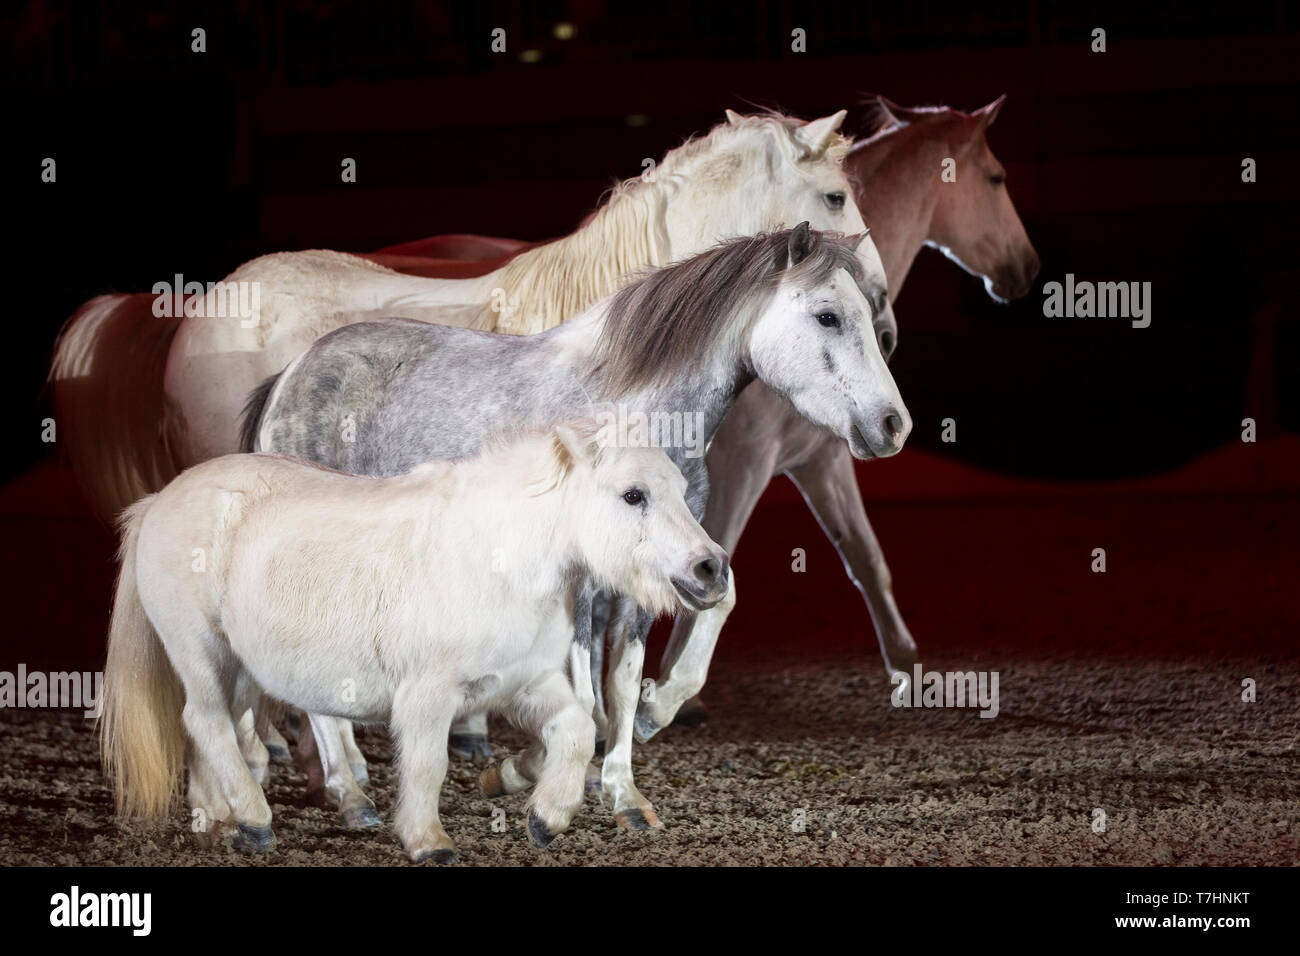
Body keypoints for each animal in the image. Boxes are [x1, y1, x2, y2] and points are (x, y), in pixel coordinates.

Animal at [100, 420, 728, 863]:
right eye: (632, 495)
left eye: (678, 490)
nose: (712, 569)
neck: (494, 555)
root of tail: (158, 501)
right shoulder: (427, 696)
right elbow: (427, 765)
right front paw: (429, 840)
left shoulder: (525, 684)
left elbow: (576, 733)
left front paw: (545, 817)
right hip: (200, 651)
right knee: (205, 721)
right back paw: (254, 819)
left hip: (240, 668)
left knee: (217, 728)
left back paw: (219, 821)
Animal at [240, 225, 910, 831]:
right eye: (828, 316)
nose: (893, 425)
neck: (639, 415)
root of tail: (289, 376)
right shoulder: (583, 585)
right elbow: (586, 693)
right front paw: (531, 773)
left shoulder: (655, 572)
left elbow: (624, 682)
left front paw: (623, 793)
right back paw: (348, 796)